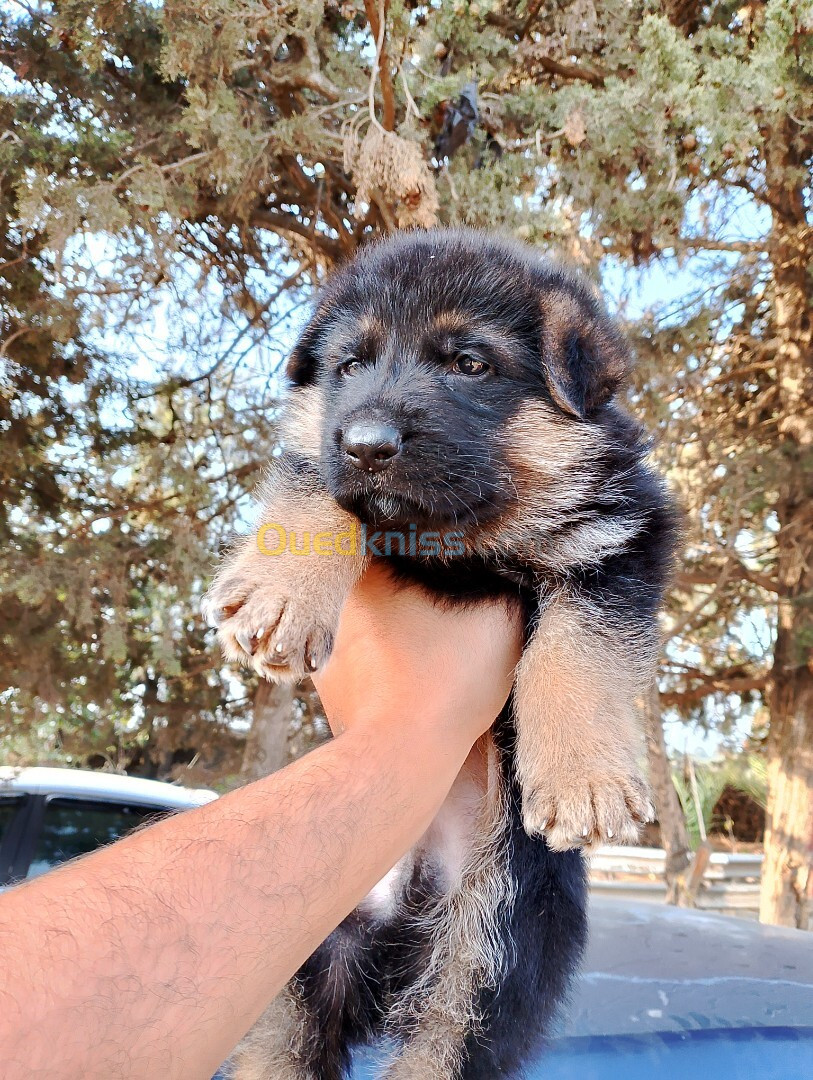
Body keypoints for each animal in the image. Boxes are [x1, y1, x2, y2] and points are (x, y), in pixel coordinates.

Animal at [206, 230, 673, 1080]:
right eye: (348, 365)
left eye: (468, 363)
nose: (367, 444)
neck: (459, 543)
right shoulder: (330, 461)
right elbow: (317, 488)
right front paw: (277, 594)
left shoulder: (621, 536)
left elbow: (576, 648)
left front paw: (582, 777)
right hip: (301, 967)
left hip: (483, 968)